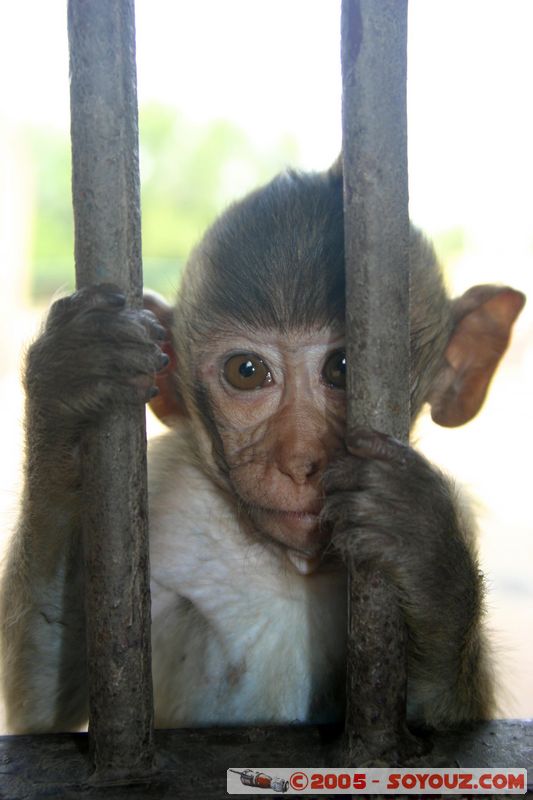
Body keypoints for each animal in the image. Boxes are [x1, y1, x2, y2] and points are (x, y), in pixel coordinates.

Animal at [0, 159, 524, 736]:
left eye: (344, 368)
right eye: (247, 372)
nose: (299, 463)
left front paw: (426, 552)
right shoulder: (163, 497)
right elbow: (49, 704)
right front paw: (67, 390)